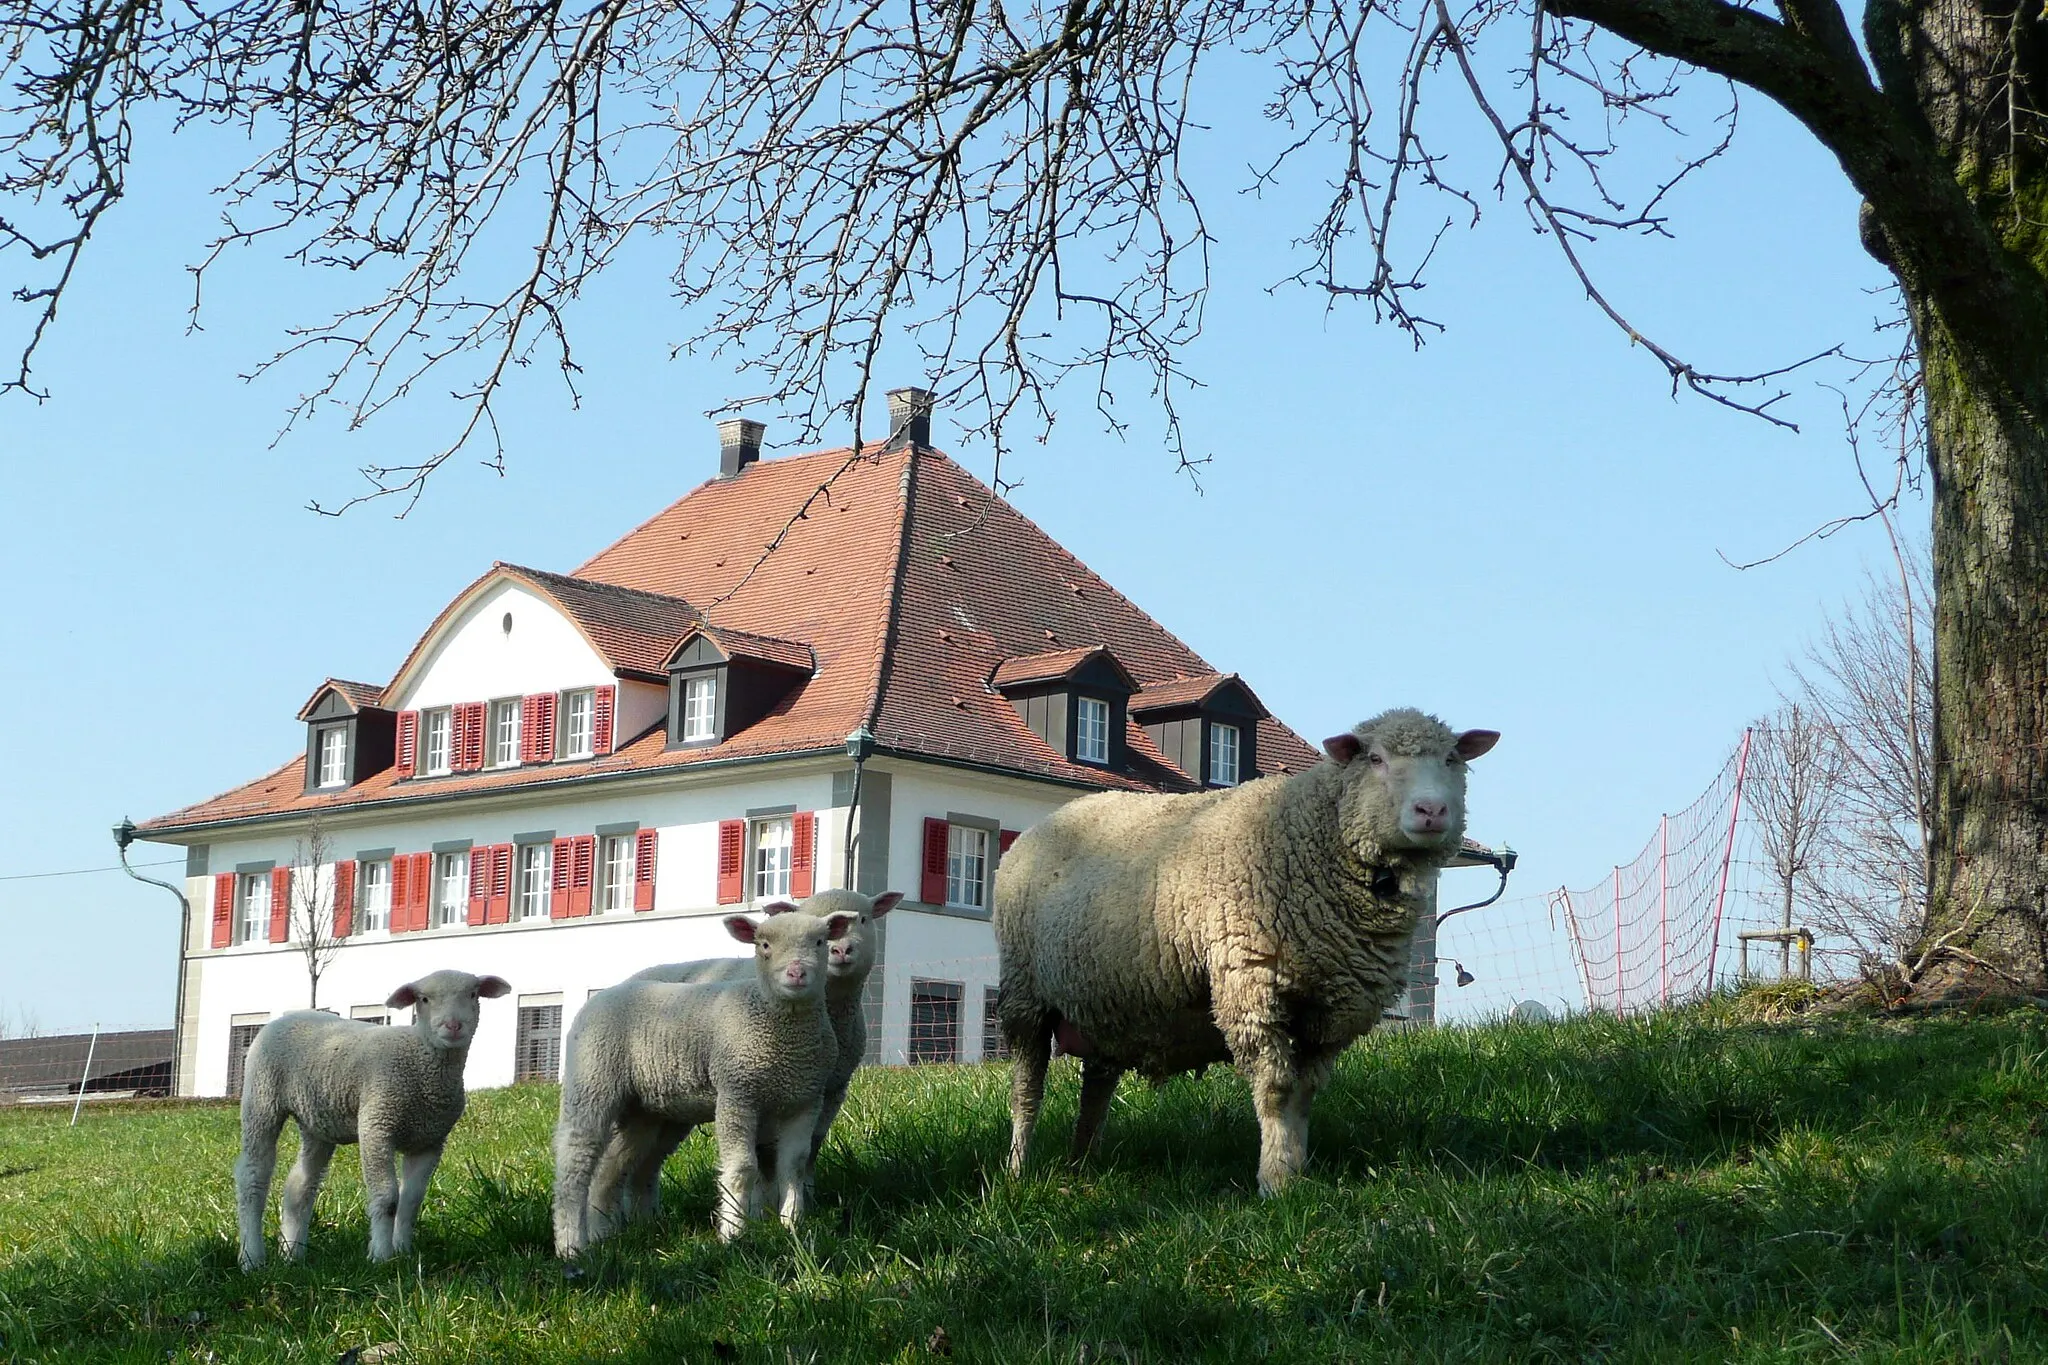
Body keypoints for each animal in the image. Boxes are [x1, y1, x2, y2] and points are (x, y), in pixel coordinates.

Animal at [234, 970, 512, 1268]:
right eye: (424, 999)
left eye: (473, 994)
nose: (453, 1025)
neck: (420, 1056)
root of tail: (285, 1018)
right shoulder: (377, 1126)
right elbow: (388, 1198)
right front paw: (380, 1256)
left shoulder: (430, 1141)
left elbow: (411, 1201)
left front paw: (403, 1251)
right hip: (262, 1098)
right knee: (252, 1177)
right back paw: (251, 1257)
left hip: (316, 1123)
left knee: (300, 1185)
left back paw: (292, 1254)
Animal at [552, 900, 856, 1252]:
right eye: (764, 945)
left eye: (819, 942)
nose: (796, 973)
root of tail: (601, 995)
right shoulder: (737, 1093)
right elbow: (742, 1168)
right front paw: (732, 1233)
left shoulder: (805, 1098)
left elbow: (794, 1163)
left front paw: (792, 1224)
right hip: (592, 1080)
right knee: (575, 1161)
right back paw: (571, 1245)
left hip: (648, 1110)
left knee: (612, 1167)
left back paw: (603, 1234)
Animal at [598, 892, 909, 1219]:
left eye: (863, 919)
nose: (841, 950)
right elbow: (764, 1156)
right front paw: (761, 1210)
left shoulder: (831, 1089)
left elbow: (810, 1148)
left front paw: (803, 1201)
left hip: (668, 1107)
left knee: (645, 1162)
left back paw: (643, 1218)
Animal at [995, 716, 1499, 1195]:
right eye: (1374, 759)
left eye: (1453, 758)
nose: (1431, 811)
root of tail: (1046, 822)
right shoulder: (1252, 987)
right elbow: (1275, 1090)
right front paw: (1274, 1180)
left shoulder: (1331, 1012)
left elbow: (1304, 1094)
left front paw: (1298, 1170)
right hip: (1025, 992)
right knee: (1026, 1088)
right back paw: (1019, 1169)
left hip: (1106, 1003)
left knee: (1095, 1087)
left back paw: (1081, 1163)